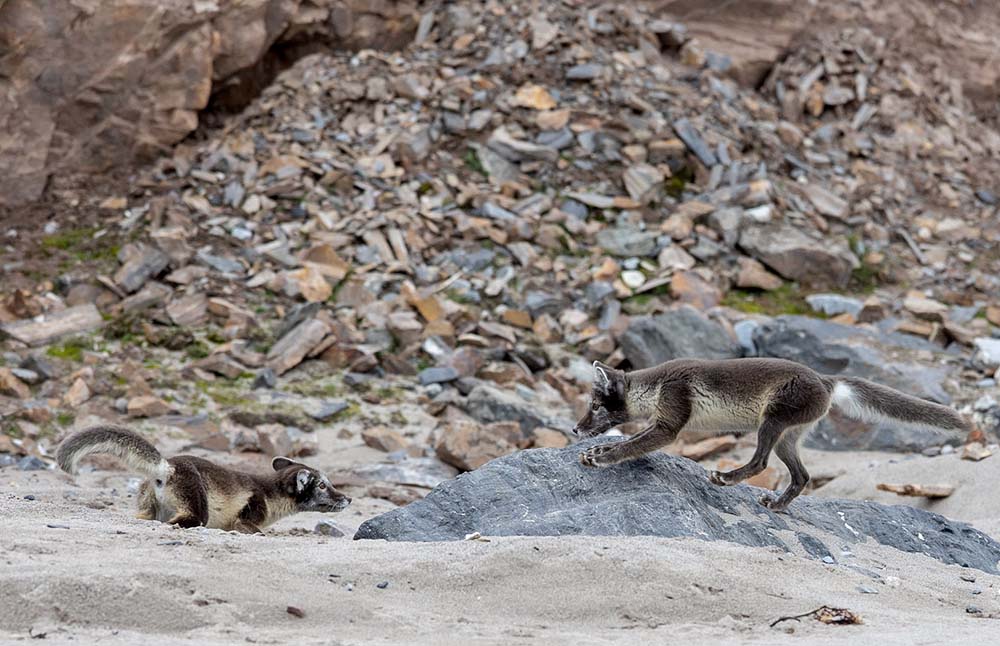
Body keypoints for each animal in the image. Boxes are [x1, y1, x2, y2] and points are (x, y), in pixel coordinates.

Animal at [576, 356, 972, 512]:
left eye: (595, 405)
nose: (575, 428)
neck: (656, 386)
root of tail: (826, 381)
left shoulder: (670, 422)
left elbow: (633, 445)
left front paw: (600, 457)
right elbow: (632, 441)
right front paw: (595, 452)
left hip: (772, 421)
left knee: (760, 462)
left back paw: (725, 478)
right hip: (789, 438)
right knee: (803, 476)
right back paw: (778, 505)